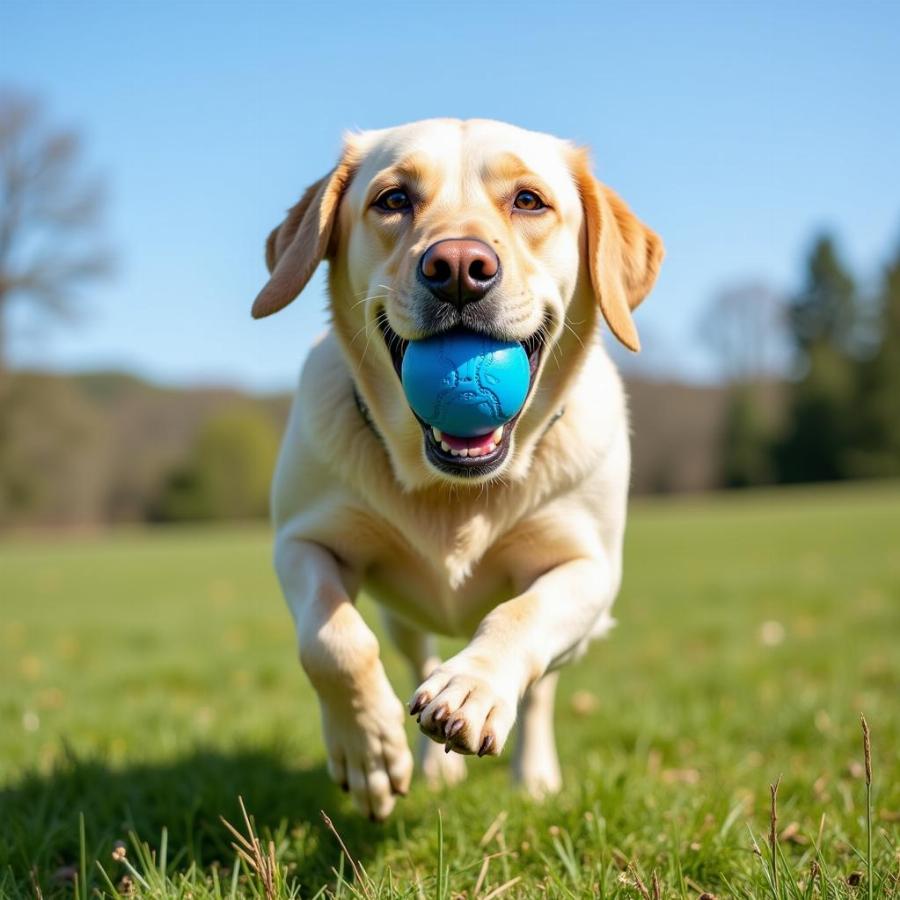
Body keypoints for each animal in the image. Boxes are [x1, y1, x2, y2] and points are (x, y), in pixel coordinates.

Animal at [251, 116, 660, 820]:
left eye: (529, 200)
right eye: (393, 199)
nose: (460, 268)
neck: (454, 491)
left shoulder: (589, 569)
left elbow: (519, 614)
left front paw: (471, 689)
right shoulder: (303, 541)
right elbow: (332, 641)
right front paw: (369, 751)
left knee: (542, 689)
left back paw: (534, 775)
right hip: (404, 614)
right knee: (412, 654)